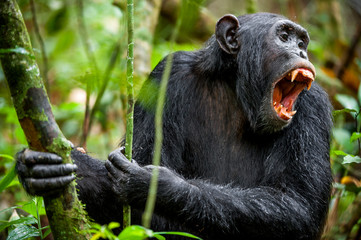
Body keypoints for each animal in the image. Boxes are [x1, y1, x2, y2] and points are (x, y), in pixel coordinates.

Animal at [16, 13, 332, 240]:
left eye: (301, 42)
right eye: (284, 36)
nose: (302, 53)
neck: (235, 88)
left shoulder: (314, 107)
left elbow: (298, 205)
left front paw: (158, 185)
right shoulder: (166, 76)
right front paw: (41, 167)